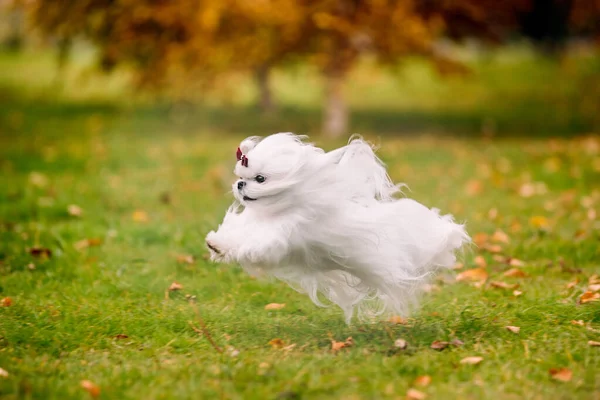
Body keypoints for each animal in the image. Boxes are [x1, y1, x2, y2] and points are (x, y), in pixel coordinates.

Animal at [206, 133, 468, 324]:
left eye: (260, 179)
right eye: (240, 176)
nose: (240, 184)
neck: (281, 208)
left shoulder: (282, 235)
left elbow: (257, 243)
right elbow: (234, 235)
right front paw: (217, 245)